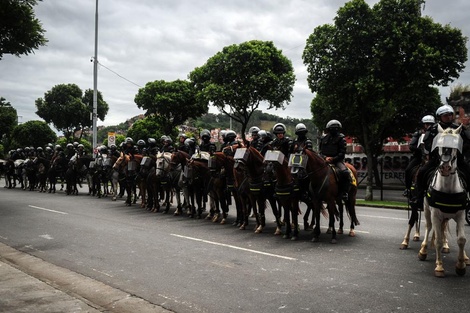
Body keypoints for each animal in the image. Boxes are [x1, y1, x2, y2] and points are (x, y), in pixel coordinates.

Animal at [418, 123, 470, 276]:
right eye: (439, 145)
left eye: (456, 146)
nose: (445, 167)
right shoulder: (435, 214)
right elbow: (439, 240)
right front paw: (439, 266)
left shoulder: (460, 215)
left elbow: (461, 239)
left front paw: (460, 265)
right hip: (428, 211)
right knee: (429, 228)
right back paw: (423, 250)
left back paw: (465, 257)